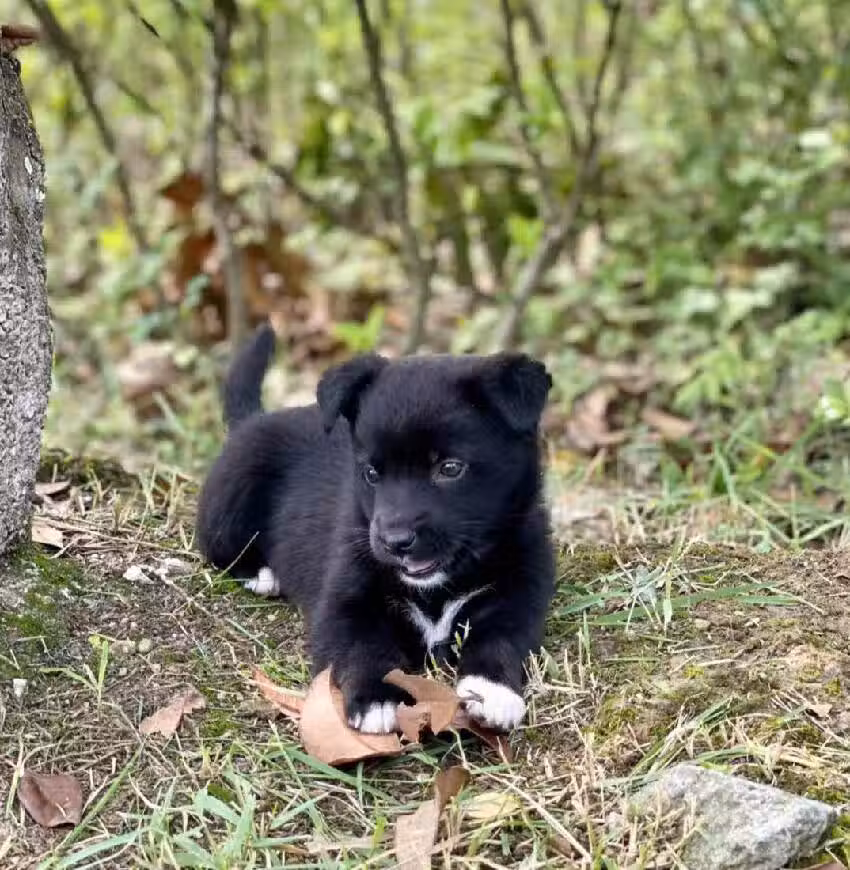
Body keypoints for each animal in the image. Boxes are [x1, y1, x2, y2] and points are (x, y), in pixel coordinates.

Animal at [196, 324, 555, 734]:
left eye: (450, 468)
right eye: (371, 473)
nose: (394, 541)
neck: (437, 586)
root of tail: (252, 420)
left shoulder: (520, 592)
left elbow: (502, 638)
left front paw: (492, 690)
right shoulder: (344, 602)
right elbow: (363, 648)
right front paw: (375, 698)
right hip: (231, 499)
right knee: (217, 546)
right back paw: (261, 573)